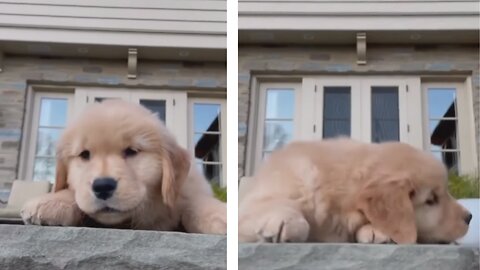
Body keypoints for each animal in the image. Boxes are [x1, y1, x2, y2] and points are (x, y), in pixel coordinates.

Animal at [20, 99, 227, 234]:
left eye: (131, 151)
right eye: (84, 155)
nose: (103, 186)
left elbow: (195, 203)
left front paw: (220, 215)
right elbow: (74, 195)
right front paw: (51, 202)